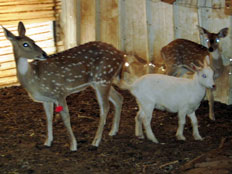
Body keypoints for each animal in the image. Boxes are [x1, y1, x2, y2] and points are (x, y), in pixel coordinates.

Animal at [1, 21, 125, 150]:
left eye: (33, 40)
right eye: (25, 44)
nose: (44, 54)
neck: (33, 79)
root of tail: (121, 55)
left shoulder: (59, 92)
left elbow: (65, 117)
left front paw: (73, 145)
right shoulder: (46, 99)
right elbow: (49, 117)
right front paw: (48, 142)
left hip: (103, 78)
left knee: (105, 106)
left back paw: (95, 141)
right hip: (99, 82)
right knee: (119, 98)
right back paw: (113, 131)